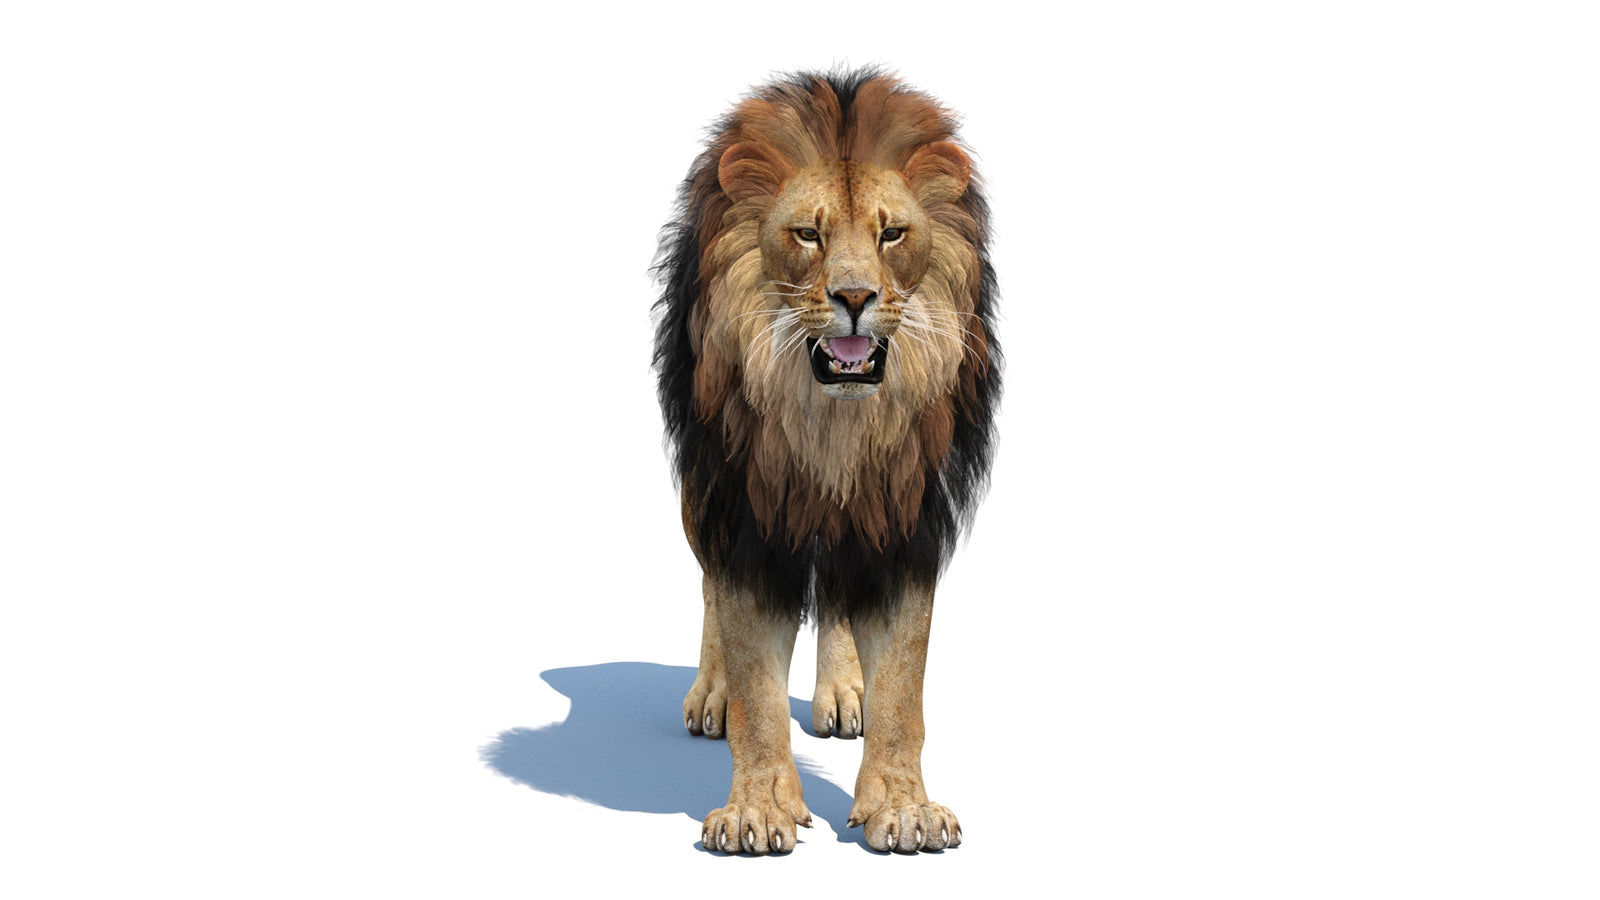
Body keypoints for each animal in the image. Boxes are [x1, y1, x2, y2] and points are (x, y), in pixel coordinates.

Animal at [652, 69, 1000, 855]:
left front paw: (903, 807)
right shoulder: (746, 515)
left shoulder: (901, 517)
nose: (854, 297)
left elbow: (903, 682)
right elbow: (754, 679)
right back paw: (712, 695)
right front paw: (756, 809)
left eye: (891, 233)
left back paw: (844, 694)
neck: (834, 426)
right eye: (807, 234)